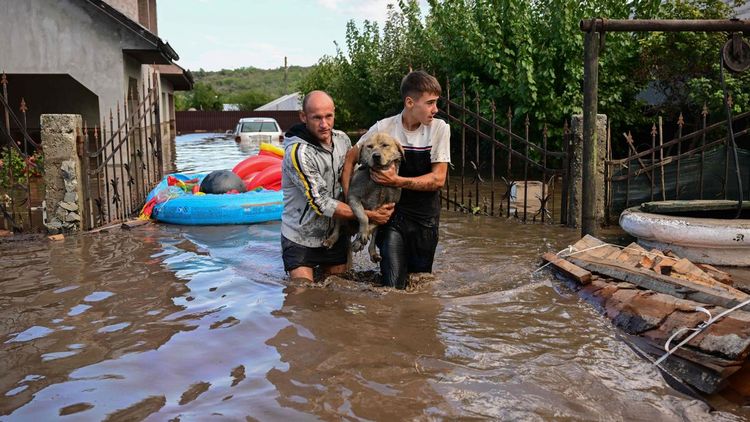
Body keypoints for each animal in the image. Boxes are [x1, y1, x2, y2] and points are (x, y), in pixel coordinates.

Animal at [324, 134, 406, 262]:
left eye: (385, 145)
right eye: (369, 146)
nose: (376, 156)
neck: (378, 181)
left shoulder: (388, 210)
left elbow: (373, 225)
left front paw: (360, 240)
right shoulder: (353, 197)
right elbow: (364, 216)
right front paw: (361, 236)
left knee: (373, 238)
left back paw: (372, 252)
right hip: (340, 201)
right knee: (337, 227)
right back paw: (331, 239)